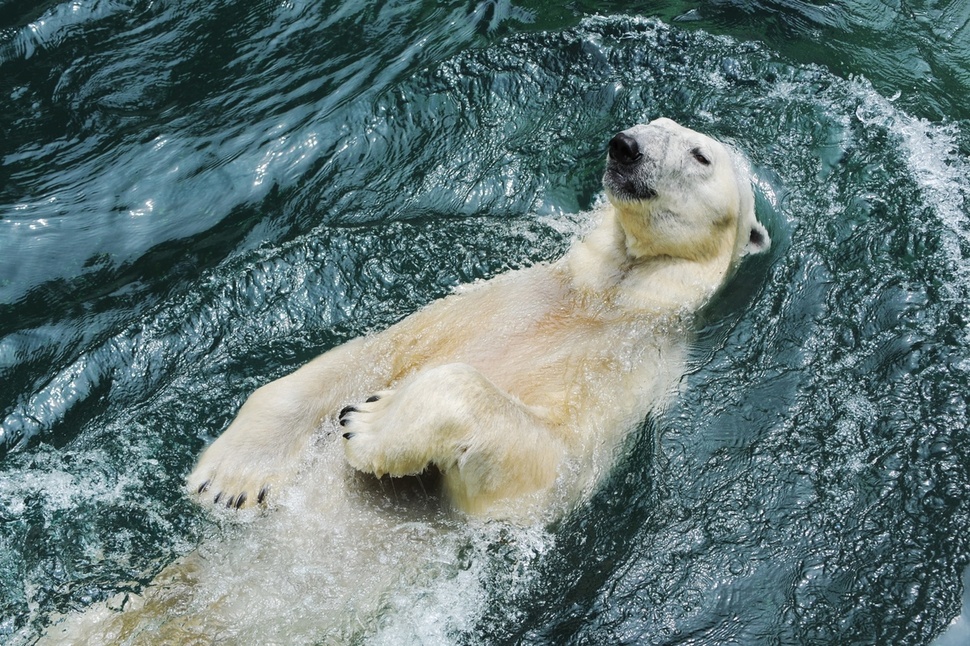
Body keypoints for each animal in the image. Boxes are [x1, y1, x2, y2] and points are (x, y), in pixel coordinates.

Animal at [185, 117, 768, 520]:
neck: (607, 299)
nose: (626, 147)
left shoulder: (631, 375)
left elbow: (547, 466)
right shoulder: (491, 302)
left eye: (700, 155)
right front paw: (228, 479)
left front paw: (369, 421)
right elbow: (368, 353)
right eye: (653, 122)